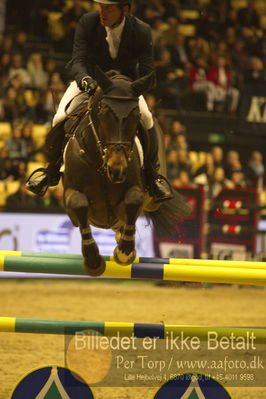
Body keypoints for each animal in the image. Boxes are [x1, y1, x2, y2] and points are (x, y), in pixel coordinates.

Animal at [62, 67, 191, 276]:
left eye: (136, 116)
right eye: (103, 112)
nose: (117, 170)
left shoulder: (134, 194)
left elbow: (133, 200)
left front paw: (125, 252)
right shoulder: (70, 195)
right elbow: (78, 203)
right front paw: (93, 260)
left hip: (152, 201)